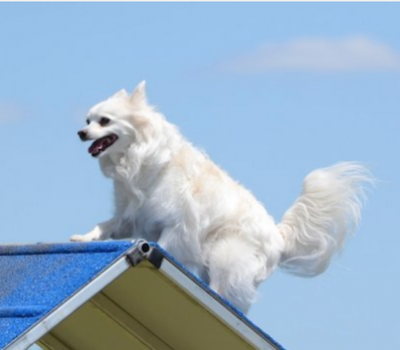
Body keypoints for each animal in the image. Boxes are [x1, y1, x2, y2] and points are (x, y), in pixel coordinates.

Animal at [70, 82, 370, 314]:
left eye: (104, 121)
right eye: (87, 120)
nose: (81, 133)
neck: (136, 158)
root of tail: (278, 236)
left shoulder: (178, 226)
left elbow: (164, 245)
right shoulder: (130, 214)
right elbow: (105, 225)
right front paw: (84, 238)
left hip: (225, 254)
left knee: (223, 291)